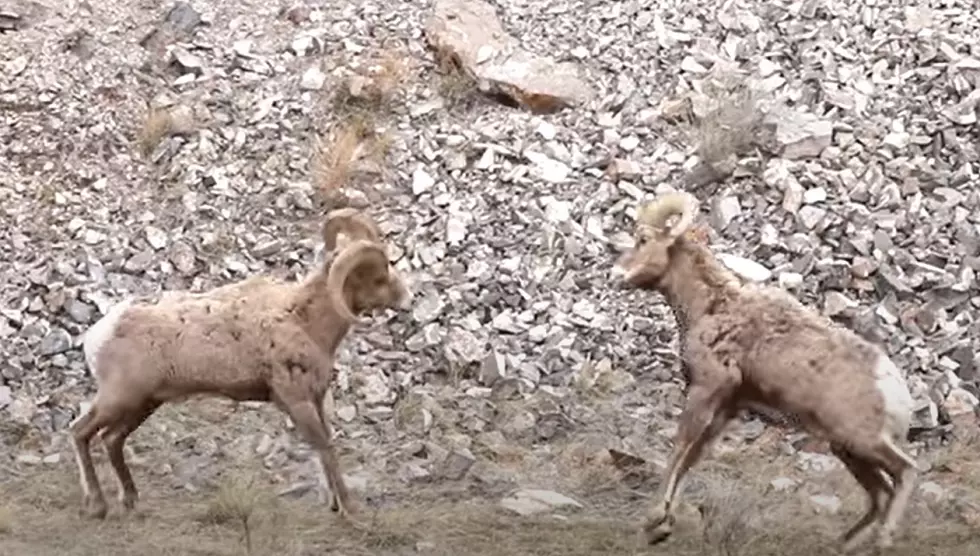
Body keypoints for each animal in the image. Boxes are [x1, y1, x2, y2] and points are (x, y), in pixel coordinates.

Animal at [69, 208, 412, 520]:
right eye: (378, 277)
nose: (407, 298)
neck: (305, 320)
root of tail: (99, 334)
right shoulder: (297, 402)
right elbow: (325, 448)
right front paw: (350, 509)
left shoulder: (315, 399)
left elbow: (326, 449)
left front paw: (336, 506)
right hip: (119, 400)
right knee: (80, 432)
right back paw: (97, 507)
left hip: (143, 404)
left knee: (111, 439)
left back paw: (130, 502)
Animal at [612, 191, 920, 552]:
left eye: (643, 239)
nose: (616, 273)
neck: (712, 306)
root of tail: (896, 393)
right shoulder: (726, 408)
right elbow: (692, 458)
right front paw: (661, 526)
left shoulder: (706, 391)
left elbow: (680, 448)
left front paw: (654, 520)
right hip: (848, 451)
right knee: (881, 494)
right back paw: (842, 544)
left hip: (863, 441)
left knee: (906, 471)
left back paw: (884, 538)